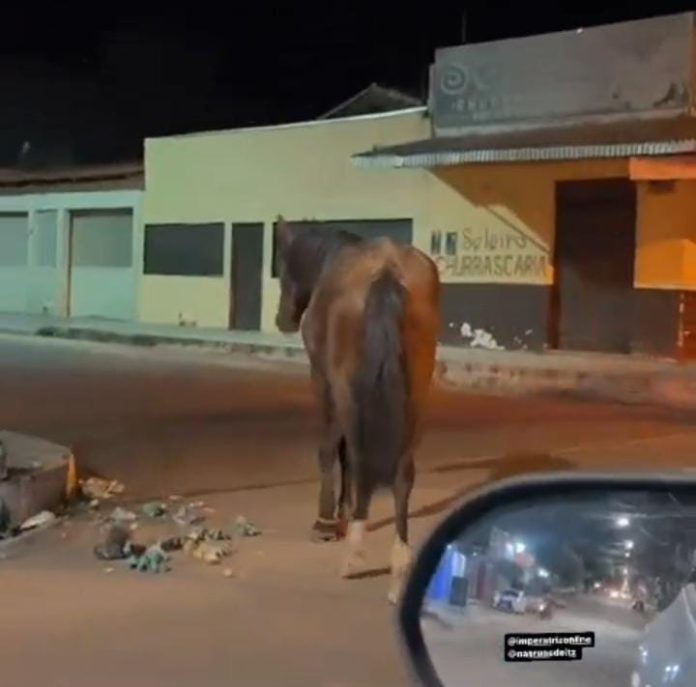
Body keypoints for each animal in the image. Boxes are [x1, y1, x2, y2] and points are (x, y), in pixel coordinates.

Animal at [274, 219, 438, 600]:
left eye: (283, 265)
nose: (282, 318)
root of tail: (388, 270)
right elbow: (345, 451)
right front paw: (343, 512)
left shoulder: (323, 381)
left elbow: (331, 448)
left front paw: (328, 519)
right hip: (416, 393)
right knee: (403, 472)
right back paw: (399, 564)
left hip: (347, 389)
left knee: (360, 456)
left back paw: (353, 553)